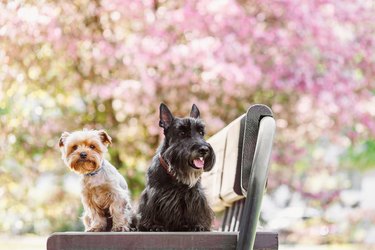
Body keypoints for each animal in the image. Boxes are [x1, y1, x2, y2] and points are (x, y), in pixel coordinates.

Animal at [137, 102, 214, 231]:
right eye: (182, 133)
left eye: (201, 133)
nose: (204, 149)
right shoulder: (154, 195)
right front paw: (154, 225)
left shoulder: (195, 195)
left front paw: (199, 224)